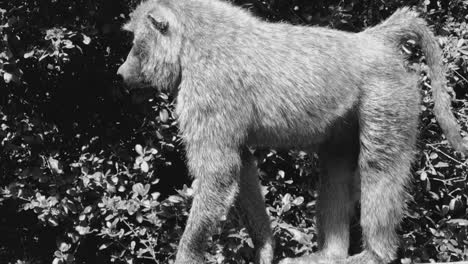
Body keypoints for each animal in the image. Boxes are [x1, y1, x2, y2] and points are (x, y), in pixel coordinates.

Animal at [116, 0, 468, 262]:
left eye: (135, 42)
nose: (121, 72)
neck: (193, 39)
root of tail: (373, 40)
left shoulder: (209, 87)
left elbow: (219, 172)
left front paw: (188, 255)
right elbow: (241, 166)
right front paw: (266, 249)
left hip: (388, 95)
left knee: (379, 166)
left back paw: (374, 254)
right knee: (336, 164)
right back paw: (329, 255)